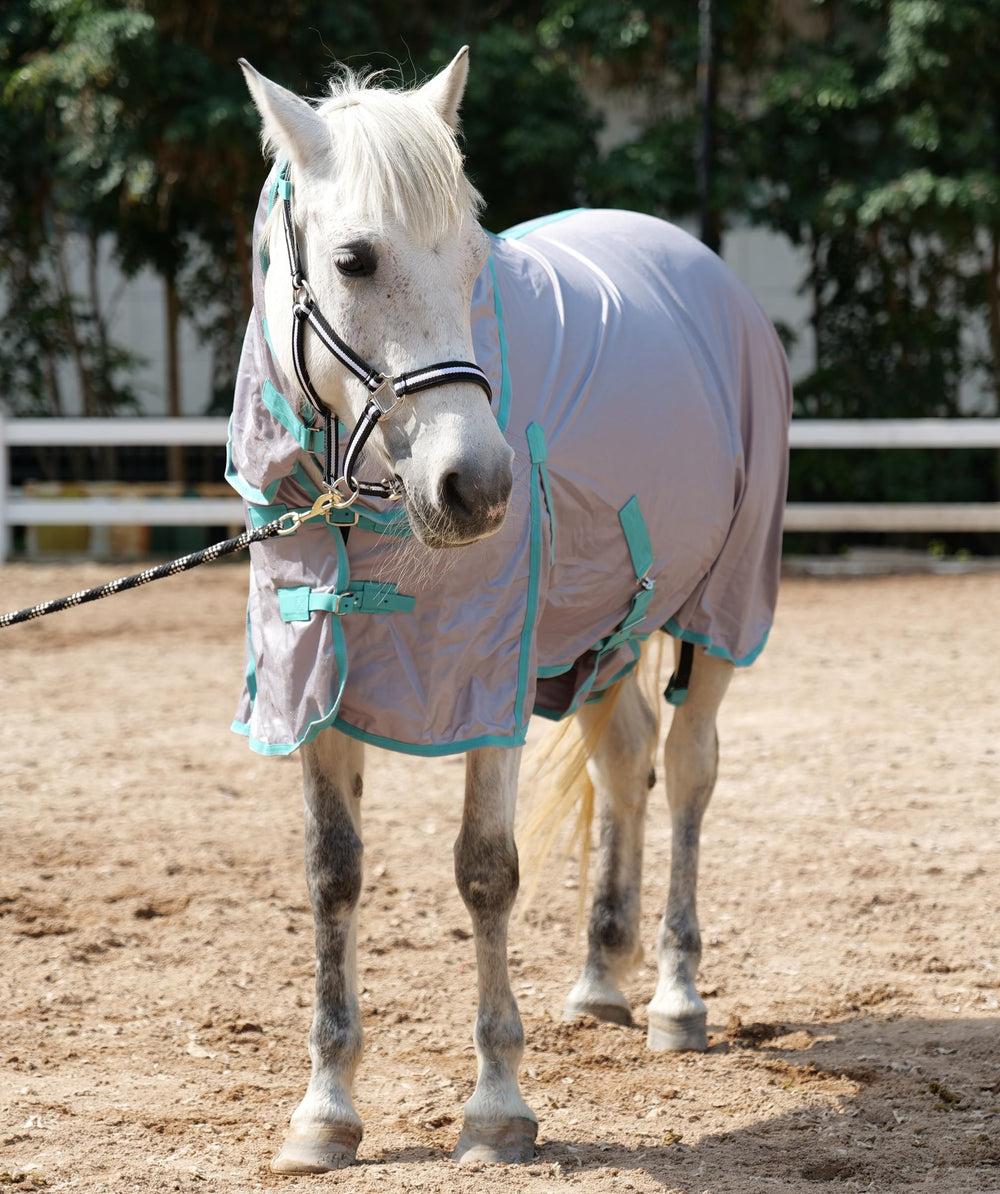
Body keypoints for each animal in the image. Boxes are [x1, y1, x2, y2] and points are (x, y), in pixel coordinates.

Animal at [231, 48, 791, 1172]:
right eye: (354, 259)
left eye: (470, 264)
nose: (477, 487)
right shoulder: (315, 681)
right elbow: (331, 875)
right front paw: (326, 1108)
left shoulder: (486, 682)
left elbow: (485, 873)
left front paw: (496, 1108)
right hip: (601, 633)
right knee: (626, 761)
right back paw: (600, 978)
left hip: (714, 617)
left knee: (688, 775)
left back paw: (675, 996)